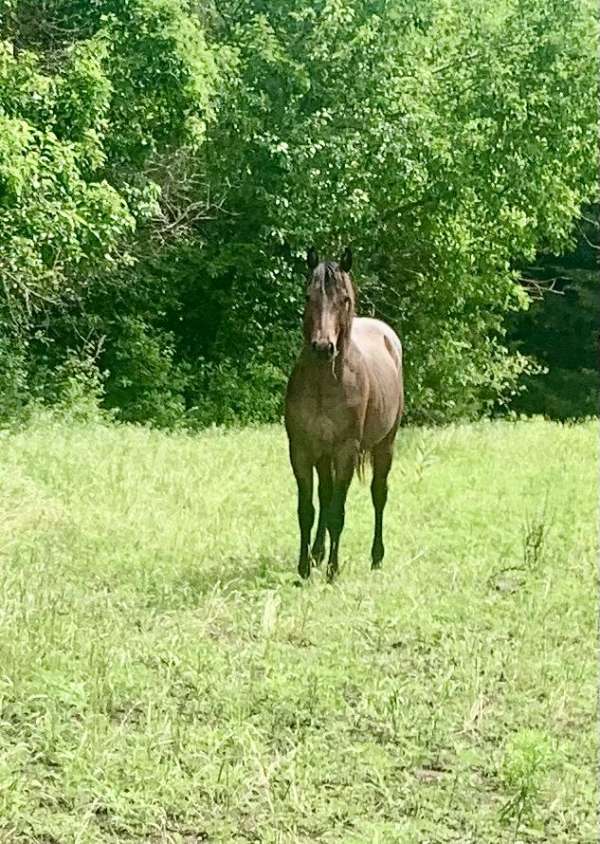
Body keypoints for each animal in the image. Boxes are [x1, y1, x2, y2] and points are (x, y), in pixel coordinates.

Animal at [284, 247, 404, 584]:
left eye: (345, 299)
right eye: (308, 295)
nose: (323, 347)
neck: (325, 383)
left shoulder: (346, 451)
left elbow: (338, 511)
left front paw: (332, 571)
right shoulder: (301, 449)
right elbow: (307, 510)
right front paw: (304, 568)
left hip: (385, 445)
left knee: (379, 493)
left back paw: (376, 557)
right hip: (323, 455)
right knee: (325, 496)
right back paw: (317, 553)